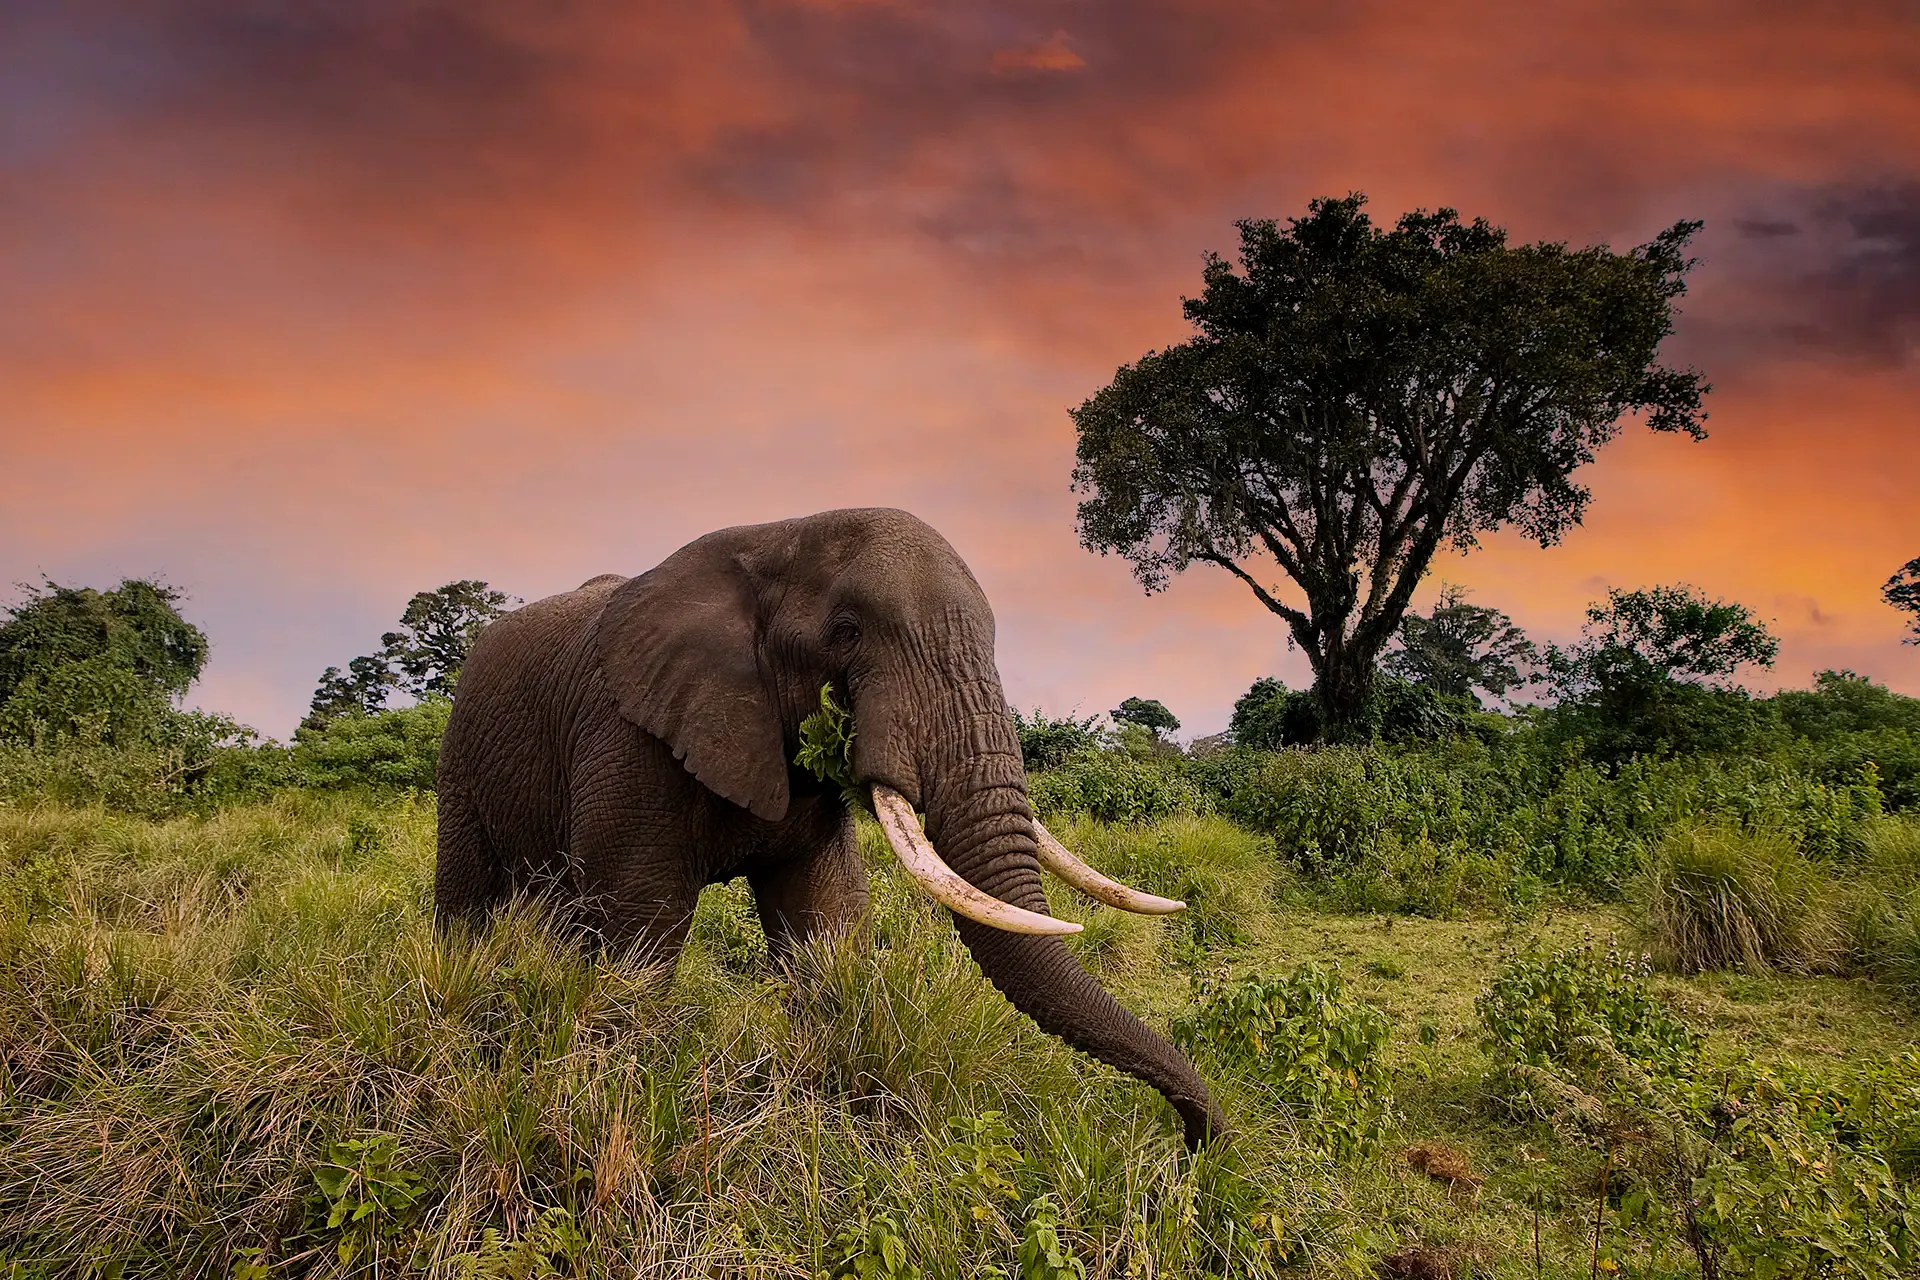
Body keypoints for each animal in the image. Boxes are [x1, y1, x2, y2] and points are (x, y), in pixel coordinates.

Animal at [434, 507, 1226, 1148]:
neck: (774, 536)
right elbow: (640, 932)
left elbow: (826, 923)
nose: (1193, 1144)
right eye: (845, 635)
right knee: (470, 898)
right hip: (461, 758)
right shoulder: (627, 742)